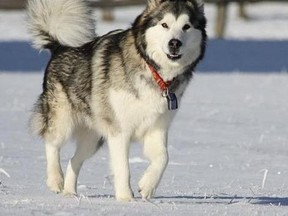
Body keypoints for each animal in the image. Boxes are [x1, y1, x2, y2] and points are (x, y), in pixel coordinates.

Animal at [27, 0, 207, 201]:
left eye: (186, 26)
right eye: (164, 25)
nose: (175, 43)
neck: (153, 71)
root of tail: (60, 47)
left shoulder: (156, 128)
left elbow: (163, 158)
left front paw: (147, 186)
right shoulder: (119, 131)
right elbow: (123, 168)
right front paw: (126, 199)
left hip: (93, 139)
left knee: (74, 160)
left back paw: (70, 192)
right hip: (62, 120)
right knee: (51, 143)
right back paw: (55, 180)